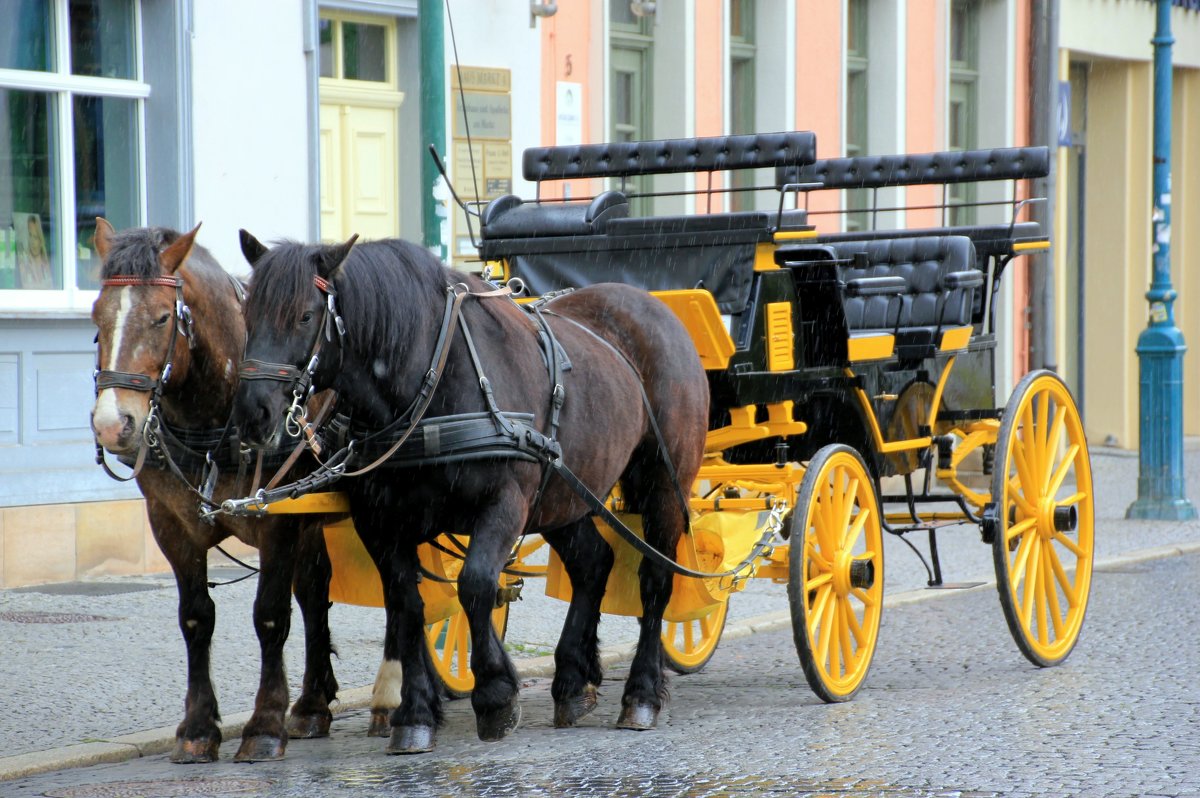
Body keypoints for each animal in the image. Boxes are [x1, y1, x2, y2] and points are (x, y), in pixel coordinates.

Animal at [91, 220, 348, 763]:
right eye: (97, 316)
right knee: (315, 591)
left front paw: (265, 724)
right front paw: (198, 726)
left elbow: (270, 616)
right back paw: (313, 703)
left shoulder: (278, 524)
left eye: (162, 318)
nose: (112, 424)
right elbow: (195, 618)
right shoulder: (171, 524)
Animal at [229, 231, 705, 753]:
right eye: (248, 314)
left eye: (304, 315)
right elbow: (406, 606)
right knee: (593, 564)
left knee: (655, 579)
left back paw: (641, 693)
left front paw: (495, 693)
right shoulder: (381, 522)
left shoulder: (505, 503)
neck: (433, 378)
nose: (253, 414)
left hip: (662, 483)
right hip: (566, 492)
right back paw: (571, 682)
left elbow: (475, 583)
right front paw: (415, 713)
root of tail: (655, 307)